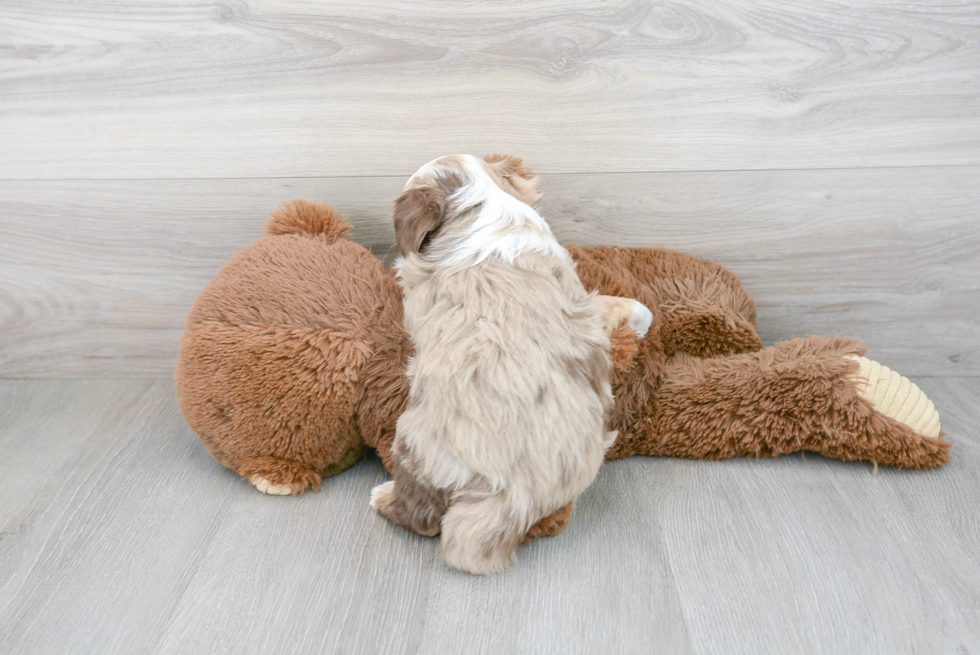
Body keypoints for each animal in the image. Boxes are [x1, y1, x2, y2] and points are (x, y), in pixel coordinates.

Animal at [372, 154, 656, 576]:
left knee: (421, 517)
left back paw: (381, 496)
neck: (485, 207)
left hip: (414, 447)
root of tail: (512, 492)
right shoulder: (585, 301)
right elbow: (631, 306)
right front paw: (641, 325)